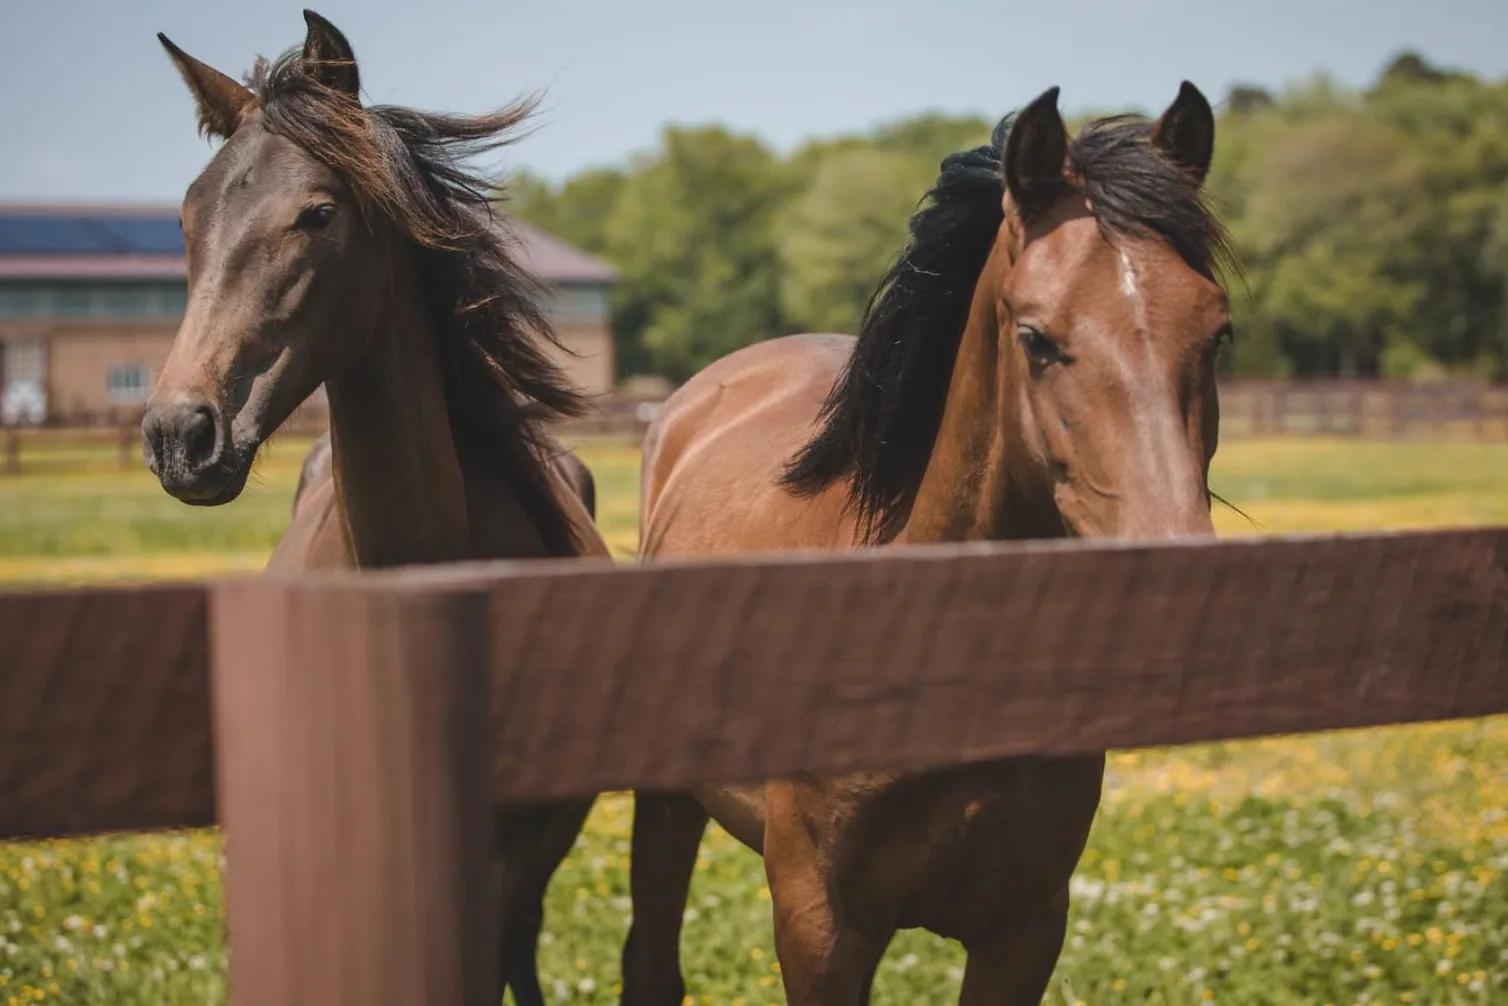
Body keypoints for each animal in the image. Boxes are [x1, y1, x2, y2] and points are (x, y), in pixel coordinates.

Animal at [621, 83, 1235, 1006]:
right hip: (667, 806)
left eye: (1218, 333)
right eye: (1036, 338)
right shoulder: (820, 929)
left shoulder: (1023, 930)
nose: (1177, 576)